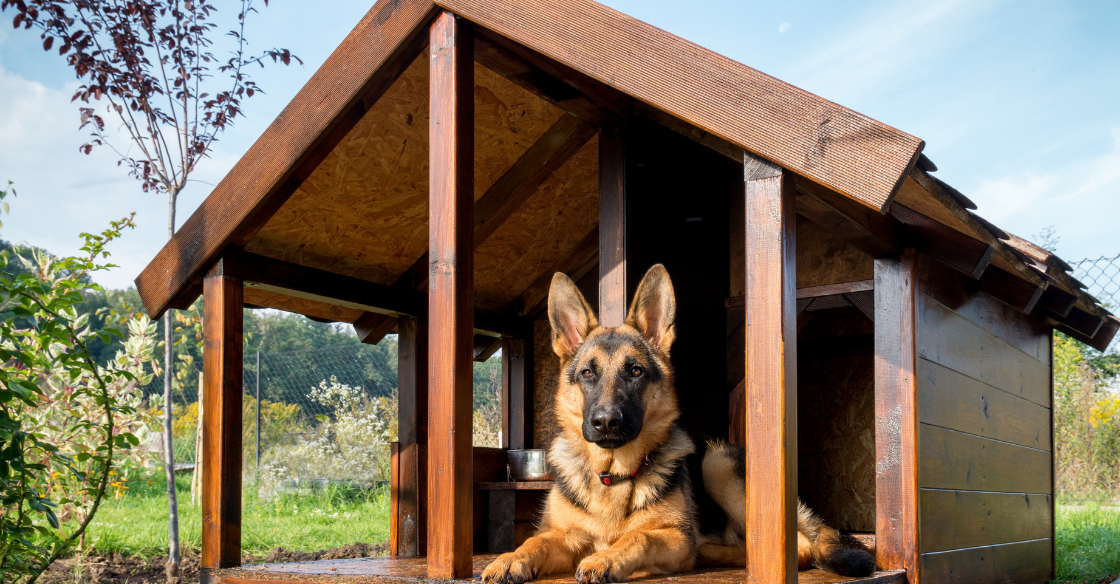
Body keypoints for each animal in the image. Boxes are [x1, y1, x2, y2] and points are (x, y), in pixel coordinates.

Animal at [481, 265, 873, 582]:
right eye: (587, 373)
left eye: (635, 371)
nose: (606, 422)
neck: (613, 475)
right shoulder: (562, 535)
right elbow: (534, 542)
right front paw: (509, 559)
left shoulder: (669, 535)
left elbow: (638, 535)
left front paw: (606, 558)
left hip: (717, 464)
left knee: (801, 547)